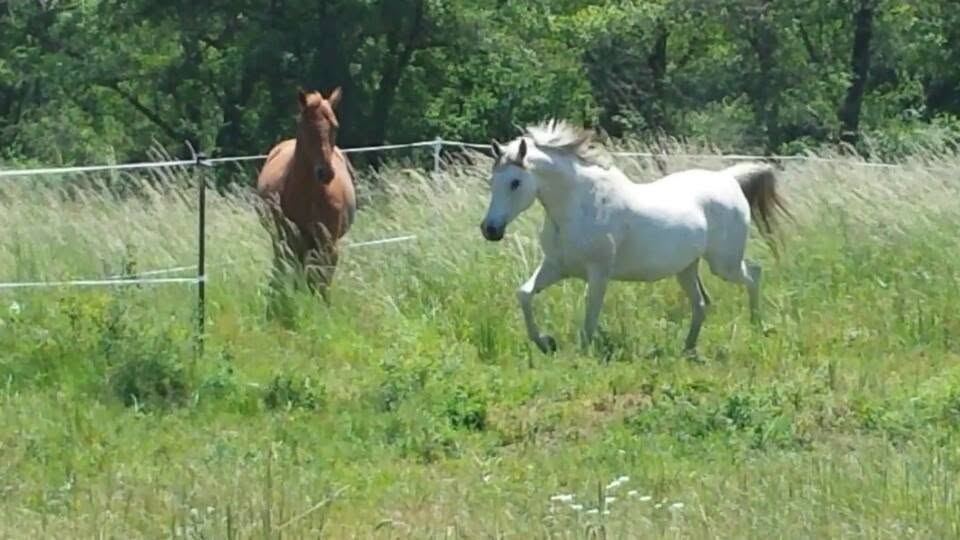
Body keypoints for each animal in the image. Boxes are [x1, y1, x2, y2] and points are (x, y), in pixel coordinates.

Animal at [256, 87, 357, 302]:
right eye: (306, 127)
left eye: (335, 127)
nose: (325, 172)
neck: (310, 195)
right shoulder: (292, 240)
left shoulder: (328, 244)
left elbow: (322, 281)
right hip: (283, 240)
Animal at [479, 120, 790, 354]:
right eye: (492, 181)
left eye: (515, 182)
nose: (490, 230)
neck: (578, 206)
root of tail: (728, 179)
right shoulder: (556, 266)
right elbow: (524, 294)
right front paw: (546, 342)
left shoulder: (598, 272)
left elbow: (590, 315)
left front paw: (580, 355)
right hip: (686, 268)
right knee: (702, 303)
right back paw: (687, 349)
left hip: (723, 264)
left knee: (753, 274)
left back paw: (756, 326)